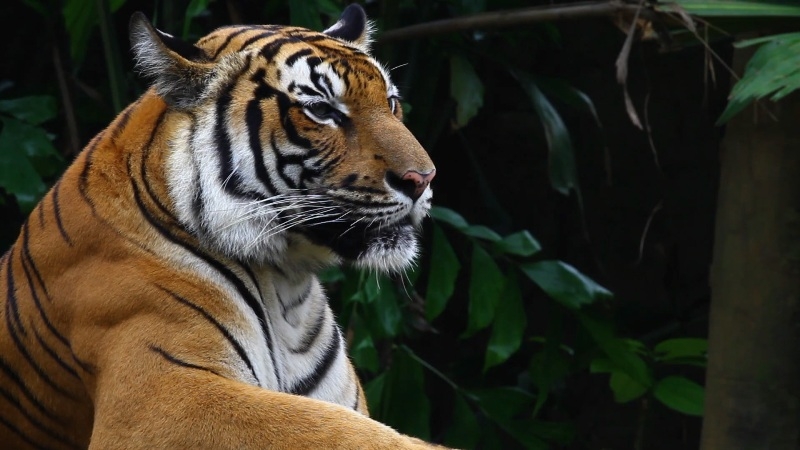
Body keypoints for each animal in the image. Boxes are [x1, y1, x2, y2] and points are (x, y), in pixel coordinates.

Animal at [0, 4, 446, 449]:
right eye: (321, 111)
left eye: (391, 102)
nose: (423, 178)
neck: (288, 289)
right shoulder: (159, 396)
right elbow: (332, 430)